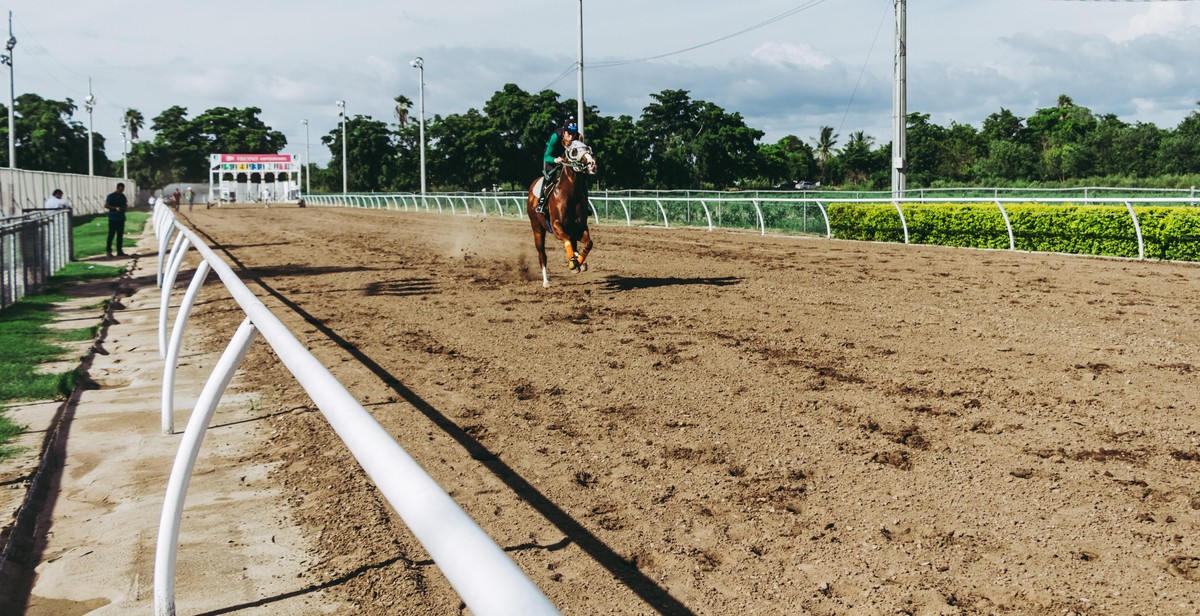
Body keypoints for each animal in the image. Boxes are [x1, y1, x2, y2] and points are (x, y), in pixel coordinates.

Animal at [528, 140, 597, 286]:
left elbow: (589, 243)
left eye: (588, 148)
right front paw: (573, 262)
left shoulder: (579, 228)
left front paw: (579, 261)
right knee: (542, 254)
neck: (570, 195)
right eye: (574, 151)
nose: (592, 164)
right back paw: (546, 282)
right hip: (537, 227)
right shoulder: (556, 227)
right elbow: (566, 239)